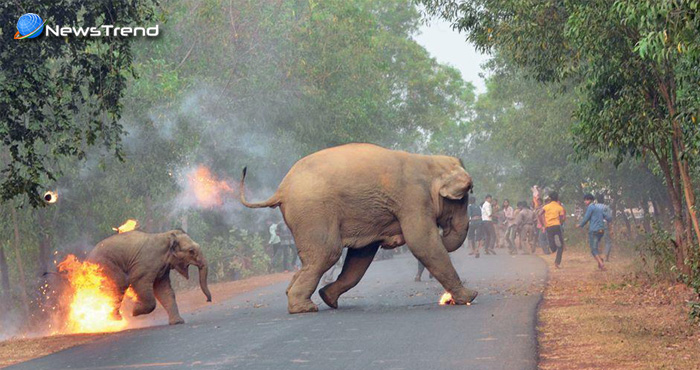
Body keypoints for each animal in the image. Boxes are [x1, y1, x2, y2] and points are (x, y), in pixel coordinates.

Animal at [239, 143, 476, 314]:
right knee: (328, 253)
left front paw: (328, 297)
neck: (429, 161)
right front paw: (470, 297)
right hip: (313, 211)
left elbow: (361, 256)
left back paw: (305, 297)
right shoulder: (413, 199)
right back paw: (304, 308)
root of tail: (281, 189)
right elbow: (422, 242)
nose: (444, 231)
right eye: (463, 198)